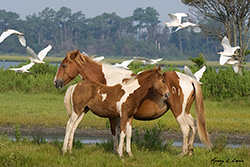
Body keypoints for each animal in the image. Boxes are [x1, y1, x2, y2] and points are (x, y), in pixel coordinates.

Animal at [54, 50, 211, 156]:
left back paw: (182, 152)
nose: (56, 82)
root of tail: (191, 79)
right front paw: (122, 150)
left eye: (64, 65)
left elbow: (116, 132)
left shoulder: (114, 115)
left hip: (178, 112)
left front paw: (118, 150)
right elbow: (122, 131)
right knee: (193, 126)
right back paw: (190, 150)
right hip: (185, 112)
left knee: (185, 128)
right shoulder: (121, 114)